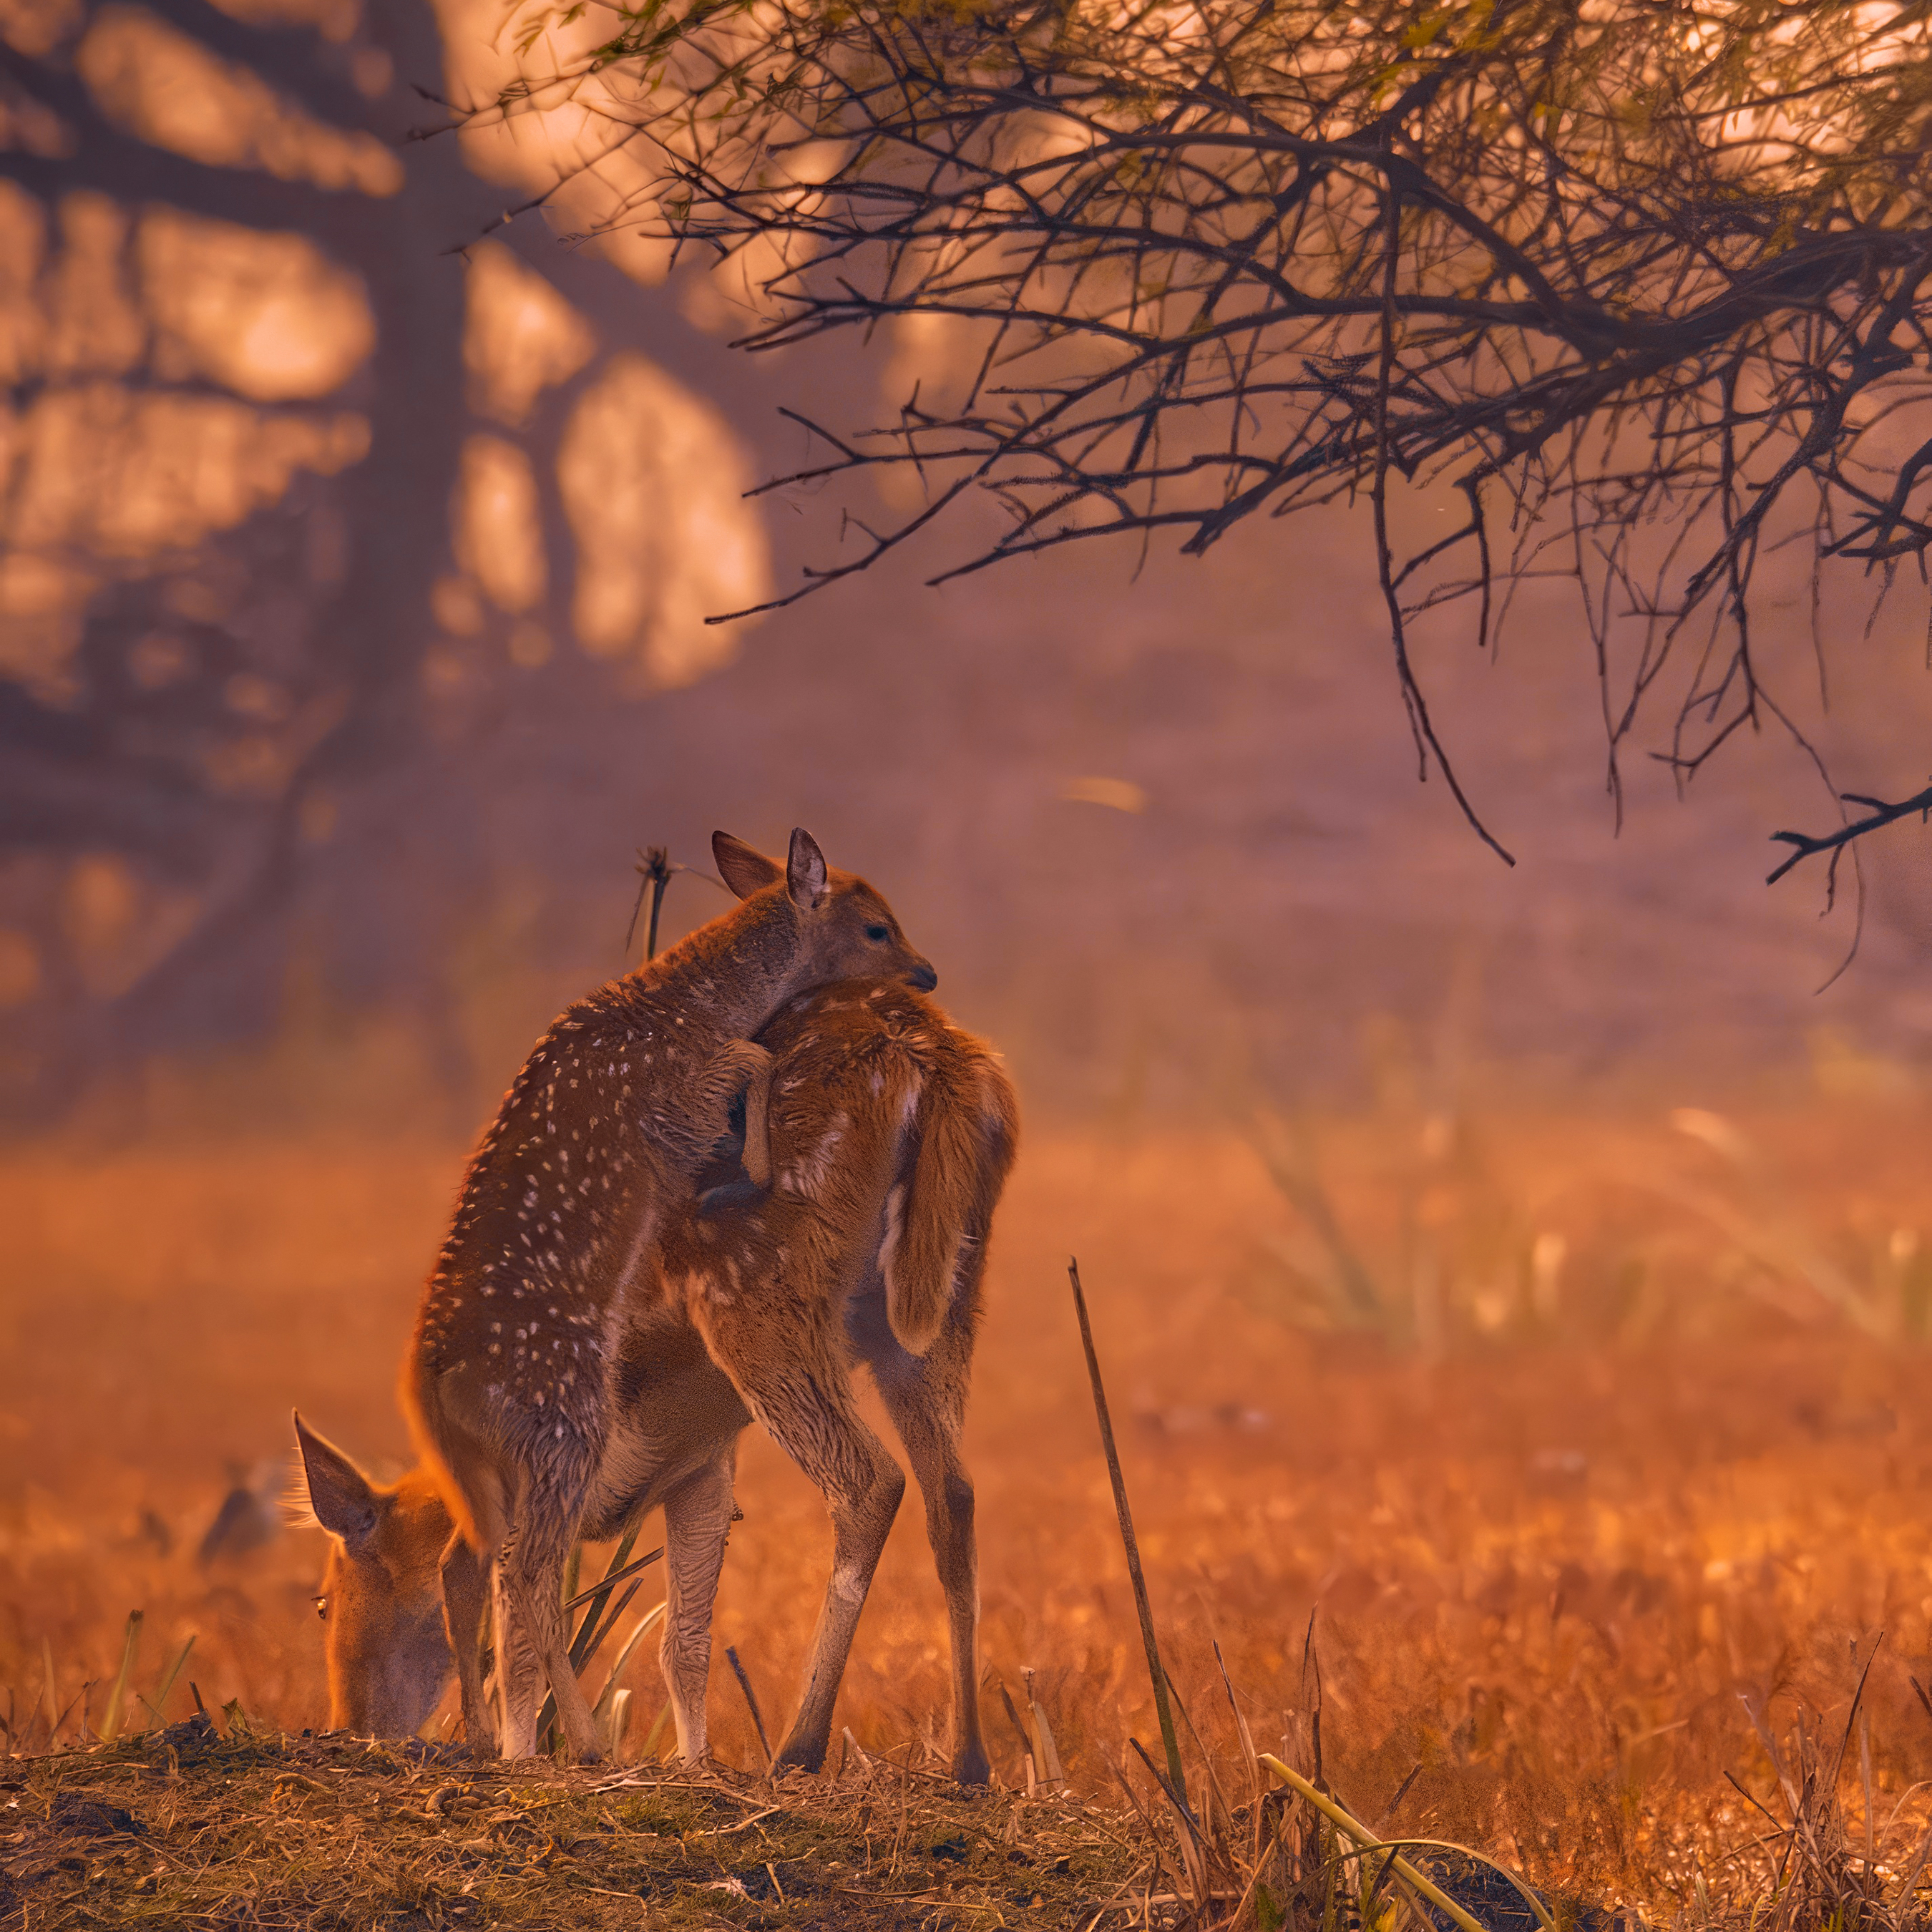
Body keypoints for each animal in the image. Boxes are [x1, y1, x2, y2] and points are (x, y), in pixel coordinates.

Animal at [295, 977, 1019, 1783]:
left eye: (322, 1602)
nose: (347, 1724)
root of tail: (932, 1057)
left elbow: (514, 1623)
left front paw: (525, 1750)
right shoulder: (702, 1470)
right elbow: (682, 1643)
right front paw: (689, 1761)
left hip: (755, 1292)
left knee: (870, 1482)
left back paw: (798, 1748)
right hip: (941, 1301)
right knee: (953, 1493)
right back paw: (969, 1762)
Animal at [396, 828, 939, 1762]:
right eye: (876, 925)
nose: (927, 972)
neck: (686, 1004)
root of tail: (427, 1378)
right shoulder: (681, 1096)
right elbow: (755, 1059)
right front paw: (748, 1168)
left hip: (503, 1462)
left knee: (476, 1564)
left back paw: (502, 1738)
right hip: (567, 1420)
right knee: (526, 1569)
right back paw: (555, 1745)